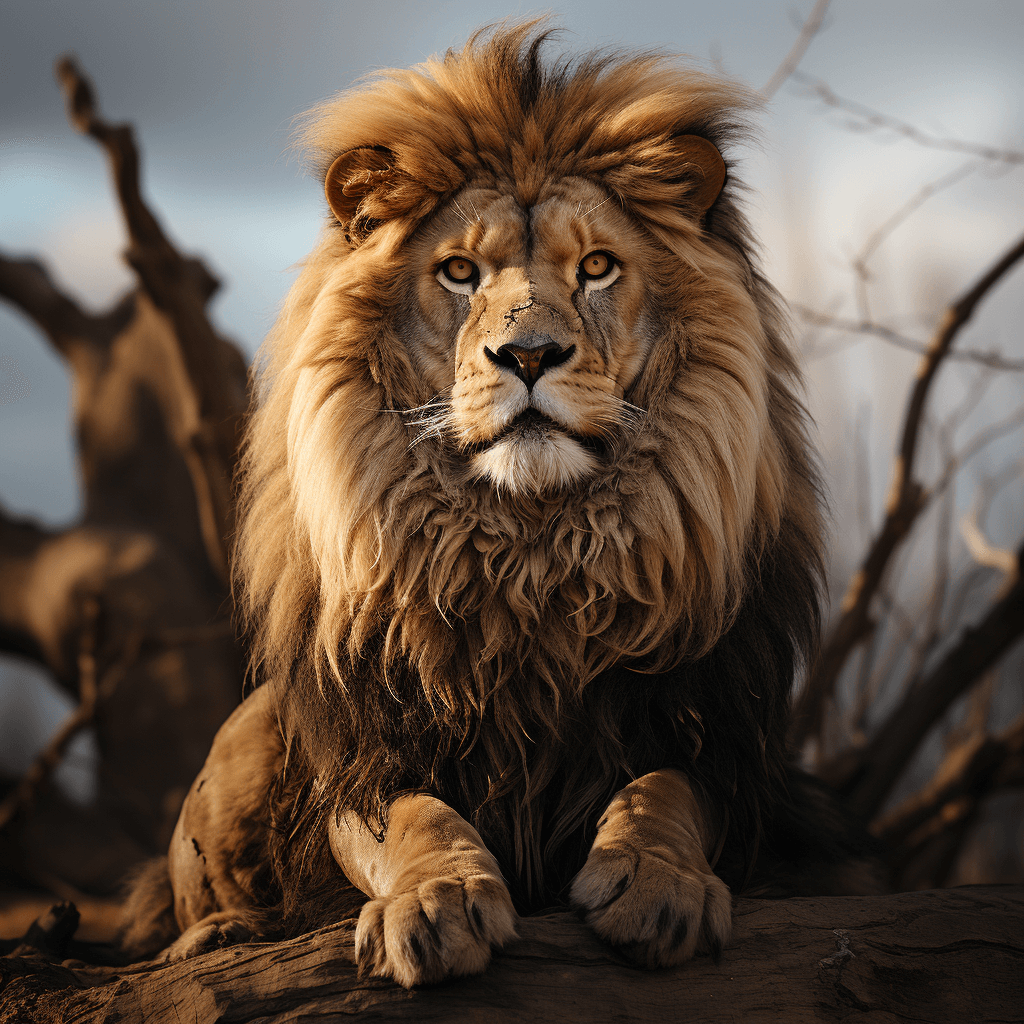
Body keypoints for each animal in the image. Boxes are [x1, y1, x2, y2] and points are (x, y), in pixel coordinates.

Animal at [117, 22, 880, 983]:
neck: (532, 553)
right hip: (249, 739)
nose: (529, 354)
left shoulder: (717, 735)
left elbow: (662, 790)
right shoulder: (366, 751)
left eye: (596, 267)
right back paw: (218, 935)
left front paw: (658, 884)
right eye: (458, 272)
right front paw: (437, 900)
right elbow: (413, 819)